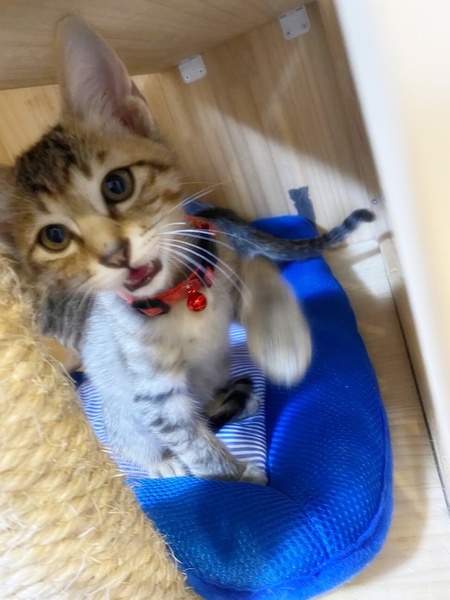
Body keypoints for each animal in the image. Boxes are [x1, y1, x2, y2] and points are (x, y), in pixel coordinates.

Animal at [0, 16, 373, 483]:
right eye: (54, 237)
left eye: (117, 184)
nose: (114, 253)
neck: (180, 299)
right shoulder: (154, 394)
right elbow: (195, 445)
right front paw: (240, 477)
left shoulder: (214, 255)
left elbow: (256, 264)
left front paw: (279, 338)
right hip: (126, 420)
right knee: (134, 442)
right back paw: (164, 462)